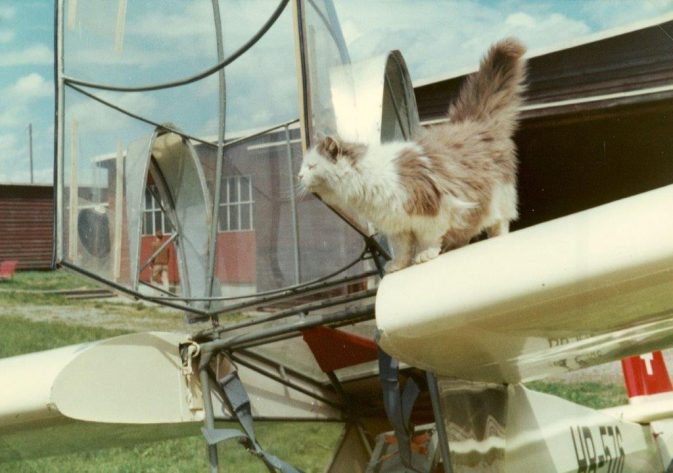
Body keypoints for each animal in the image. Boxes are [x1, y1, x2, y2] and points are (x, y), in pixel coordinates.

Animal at [300, 38, 524, 272]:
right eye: (302, 167)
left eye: (311, 166)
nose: (299, 176)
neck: (366, 182)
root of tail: (471, 122)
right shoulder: (397, 226)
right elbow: (402, 250)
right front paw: (397, 266)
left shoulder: (429, 212)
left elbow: (429, 239)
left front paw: (425, 256)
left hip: (499, 196)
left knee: (499, 222)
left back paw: (495, 237)